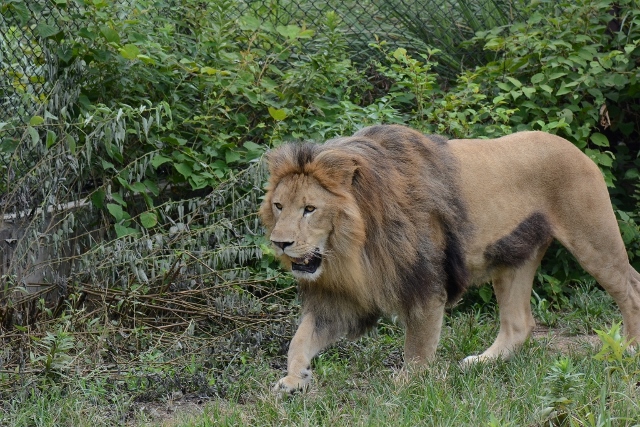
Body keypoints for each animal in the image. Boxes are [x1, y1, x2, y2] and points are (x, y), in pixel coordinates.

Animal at [260, 124, 640, 394]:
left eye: (310, 209)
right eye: (279, 205)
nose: (280, 243)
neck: (354, 246)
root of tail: (575, 148)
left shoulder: (425, 282)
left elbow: (418, 344)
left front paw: (406, 385)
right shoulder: (344, 297)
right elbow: (301, 337)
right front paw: (294, 379)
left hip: (593, 239)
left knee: (631, 288)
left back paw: (630, 348)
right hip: (514, 256)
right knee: (519, 323)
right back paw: (483, 363)